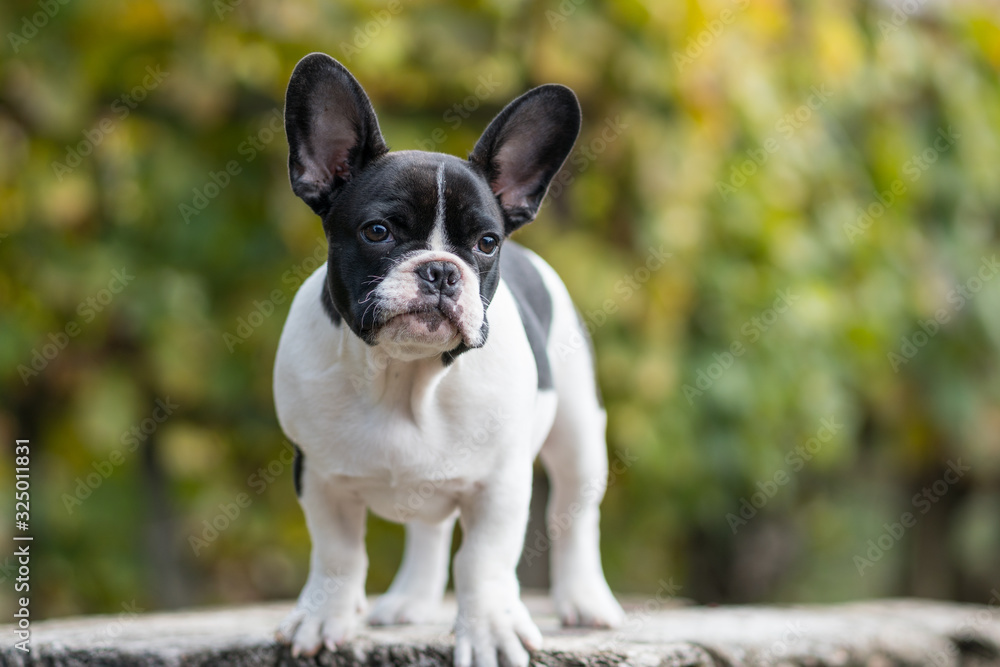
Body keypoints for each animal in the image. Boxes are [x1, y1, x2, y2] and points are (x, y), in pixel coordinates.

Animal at [270, 52, 620, 667]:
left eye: (485, 243)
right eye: (378, 232)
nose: (440, 269)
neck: (405, 377)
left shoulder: (500, 485)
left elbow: (481, 562)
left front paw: (490, 632)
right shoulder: (318, 475)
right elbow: (337, 554)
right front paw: (323, 617)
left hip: (579, 432)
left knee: (574, 514)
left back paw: (585, 601)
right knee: (428, 532)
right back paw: (410, 600)